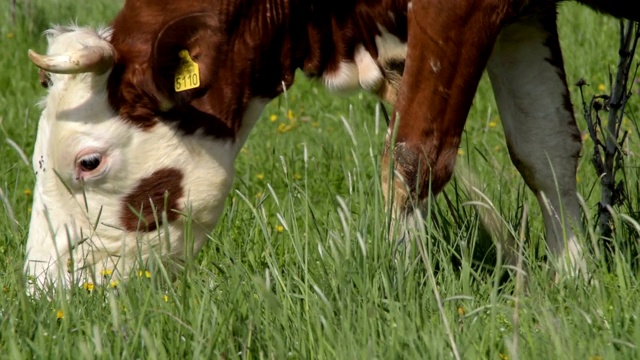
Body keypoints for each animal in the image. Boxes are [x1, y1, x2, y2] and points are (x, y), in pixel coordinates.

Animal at [26, 0, 640, 288]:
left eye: (88, 162)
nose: (42, 293)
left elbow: (414, 153)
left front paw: (403, 283)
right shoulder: (522, 12)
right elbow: (545, 147)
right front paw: (576, 279)